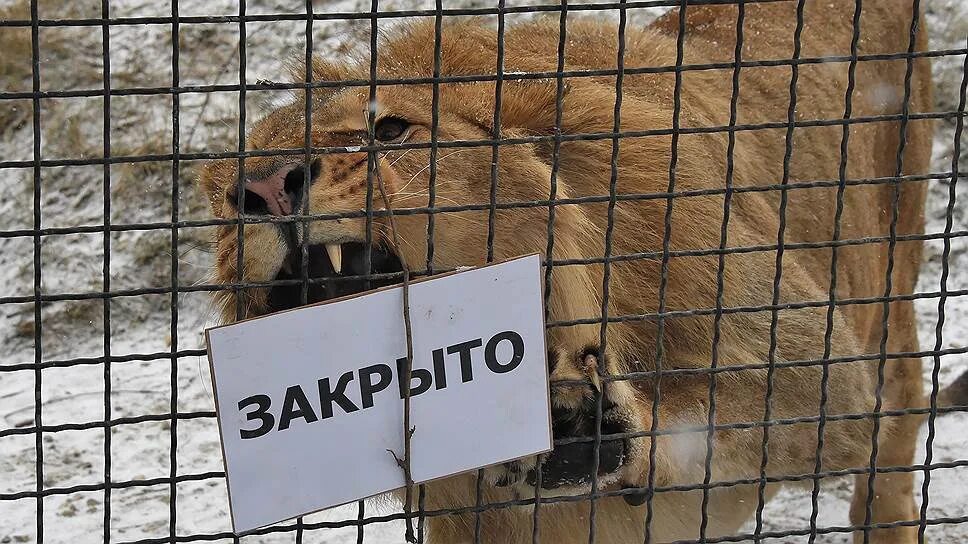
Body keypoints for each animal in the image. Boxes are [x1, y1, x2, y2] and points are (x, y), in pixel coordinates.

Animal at [199, 1, 960, 544]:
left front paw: (576, 421)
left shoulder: (819, 382)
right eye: (228, 200)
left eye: (389, 132)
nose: (265, 189)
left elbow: (720, 426)